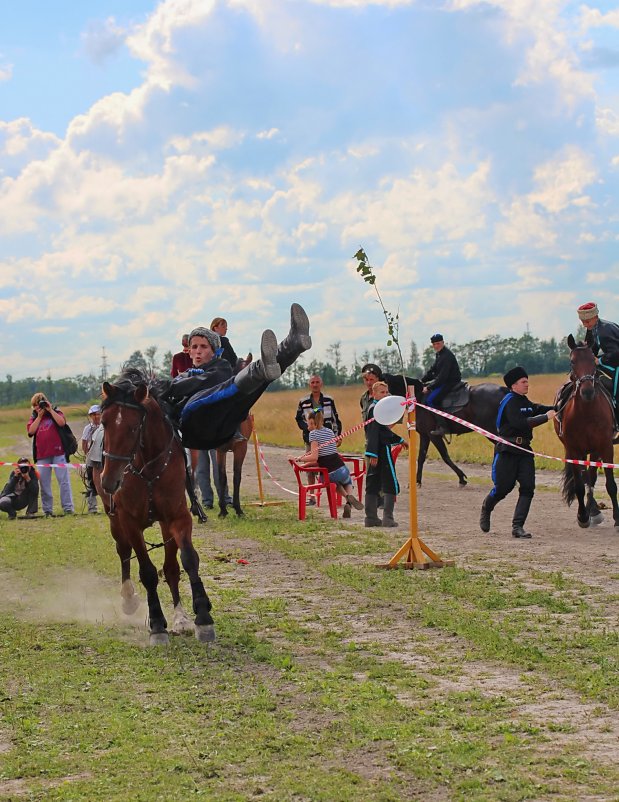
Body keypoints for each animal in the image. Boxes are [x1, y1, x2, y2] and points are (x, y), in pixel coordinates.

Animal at [92, 368, 216, 644]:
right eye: (104, 422)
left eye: (134, 426)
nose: (109, 480)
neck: (148, 466)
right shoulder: (129, 522)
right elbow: (147, 572)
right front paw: (158, 624)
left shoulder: (178, 517)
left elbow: (188, 560)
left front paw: (202, 617)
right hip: (114, 520)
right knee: (123, 552)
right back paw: (128, 598)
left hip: (163, 524)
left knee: (170, 568)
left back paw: (181, 618)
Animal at [556, 338, 619, 532]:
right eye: (572, 361)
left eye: (593, 360)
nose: (587, 391)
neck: (587, 412)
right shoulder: (574, 450)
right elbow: (579, 485)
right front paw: (582, 516)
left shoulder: (605, 447)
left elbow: (610, 484)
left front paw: (617, 518)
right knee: (586, 479)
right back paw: (592, 511)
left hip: (595, 450)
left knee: (591, 477)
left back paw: (595, 511)